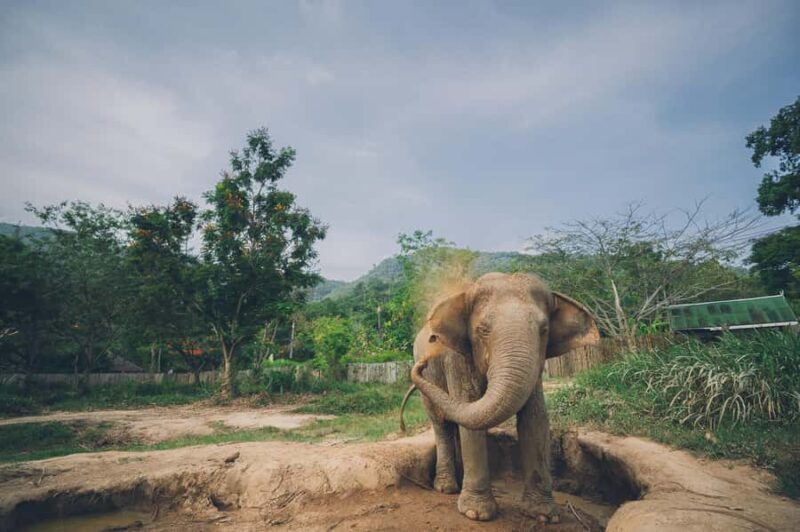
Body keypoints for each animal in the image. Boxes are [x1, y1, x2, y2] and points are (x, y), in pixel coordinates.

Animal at [405, 272, 599, 522]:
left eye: (544, 330)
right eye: (482, 330)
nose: (422, 364)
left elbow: (535, 418)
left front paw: (544, 515)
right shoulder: (456, 359)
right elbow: (470, 408)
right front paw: (476, 514)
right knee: (441, 425)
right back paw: (446, 488)